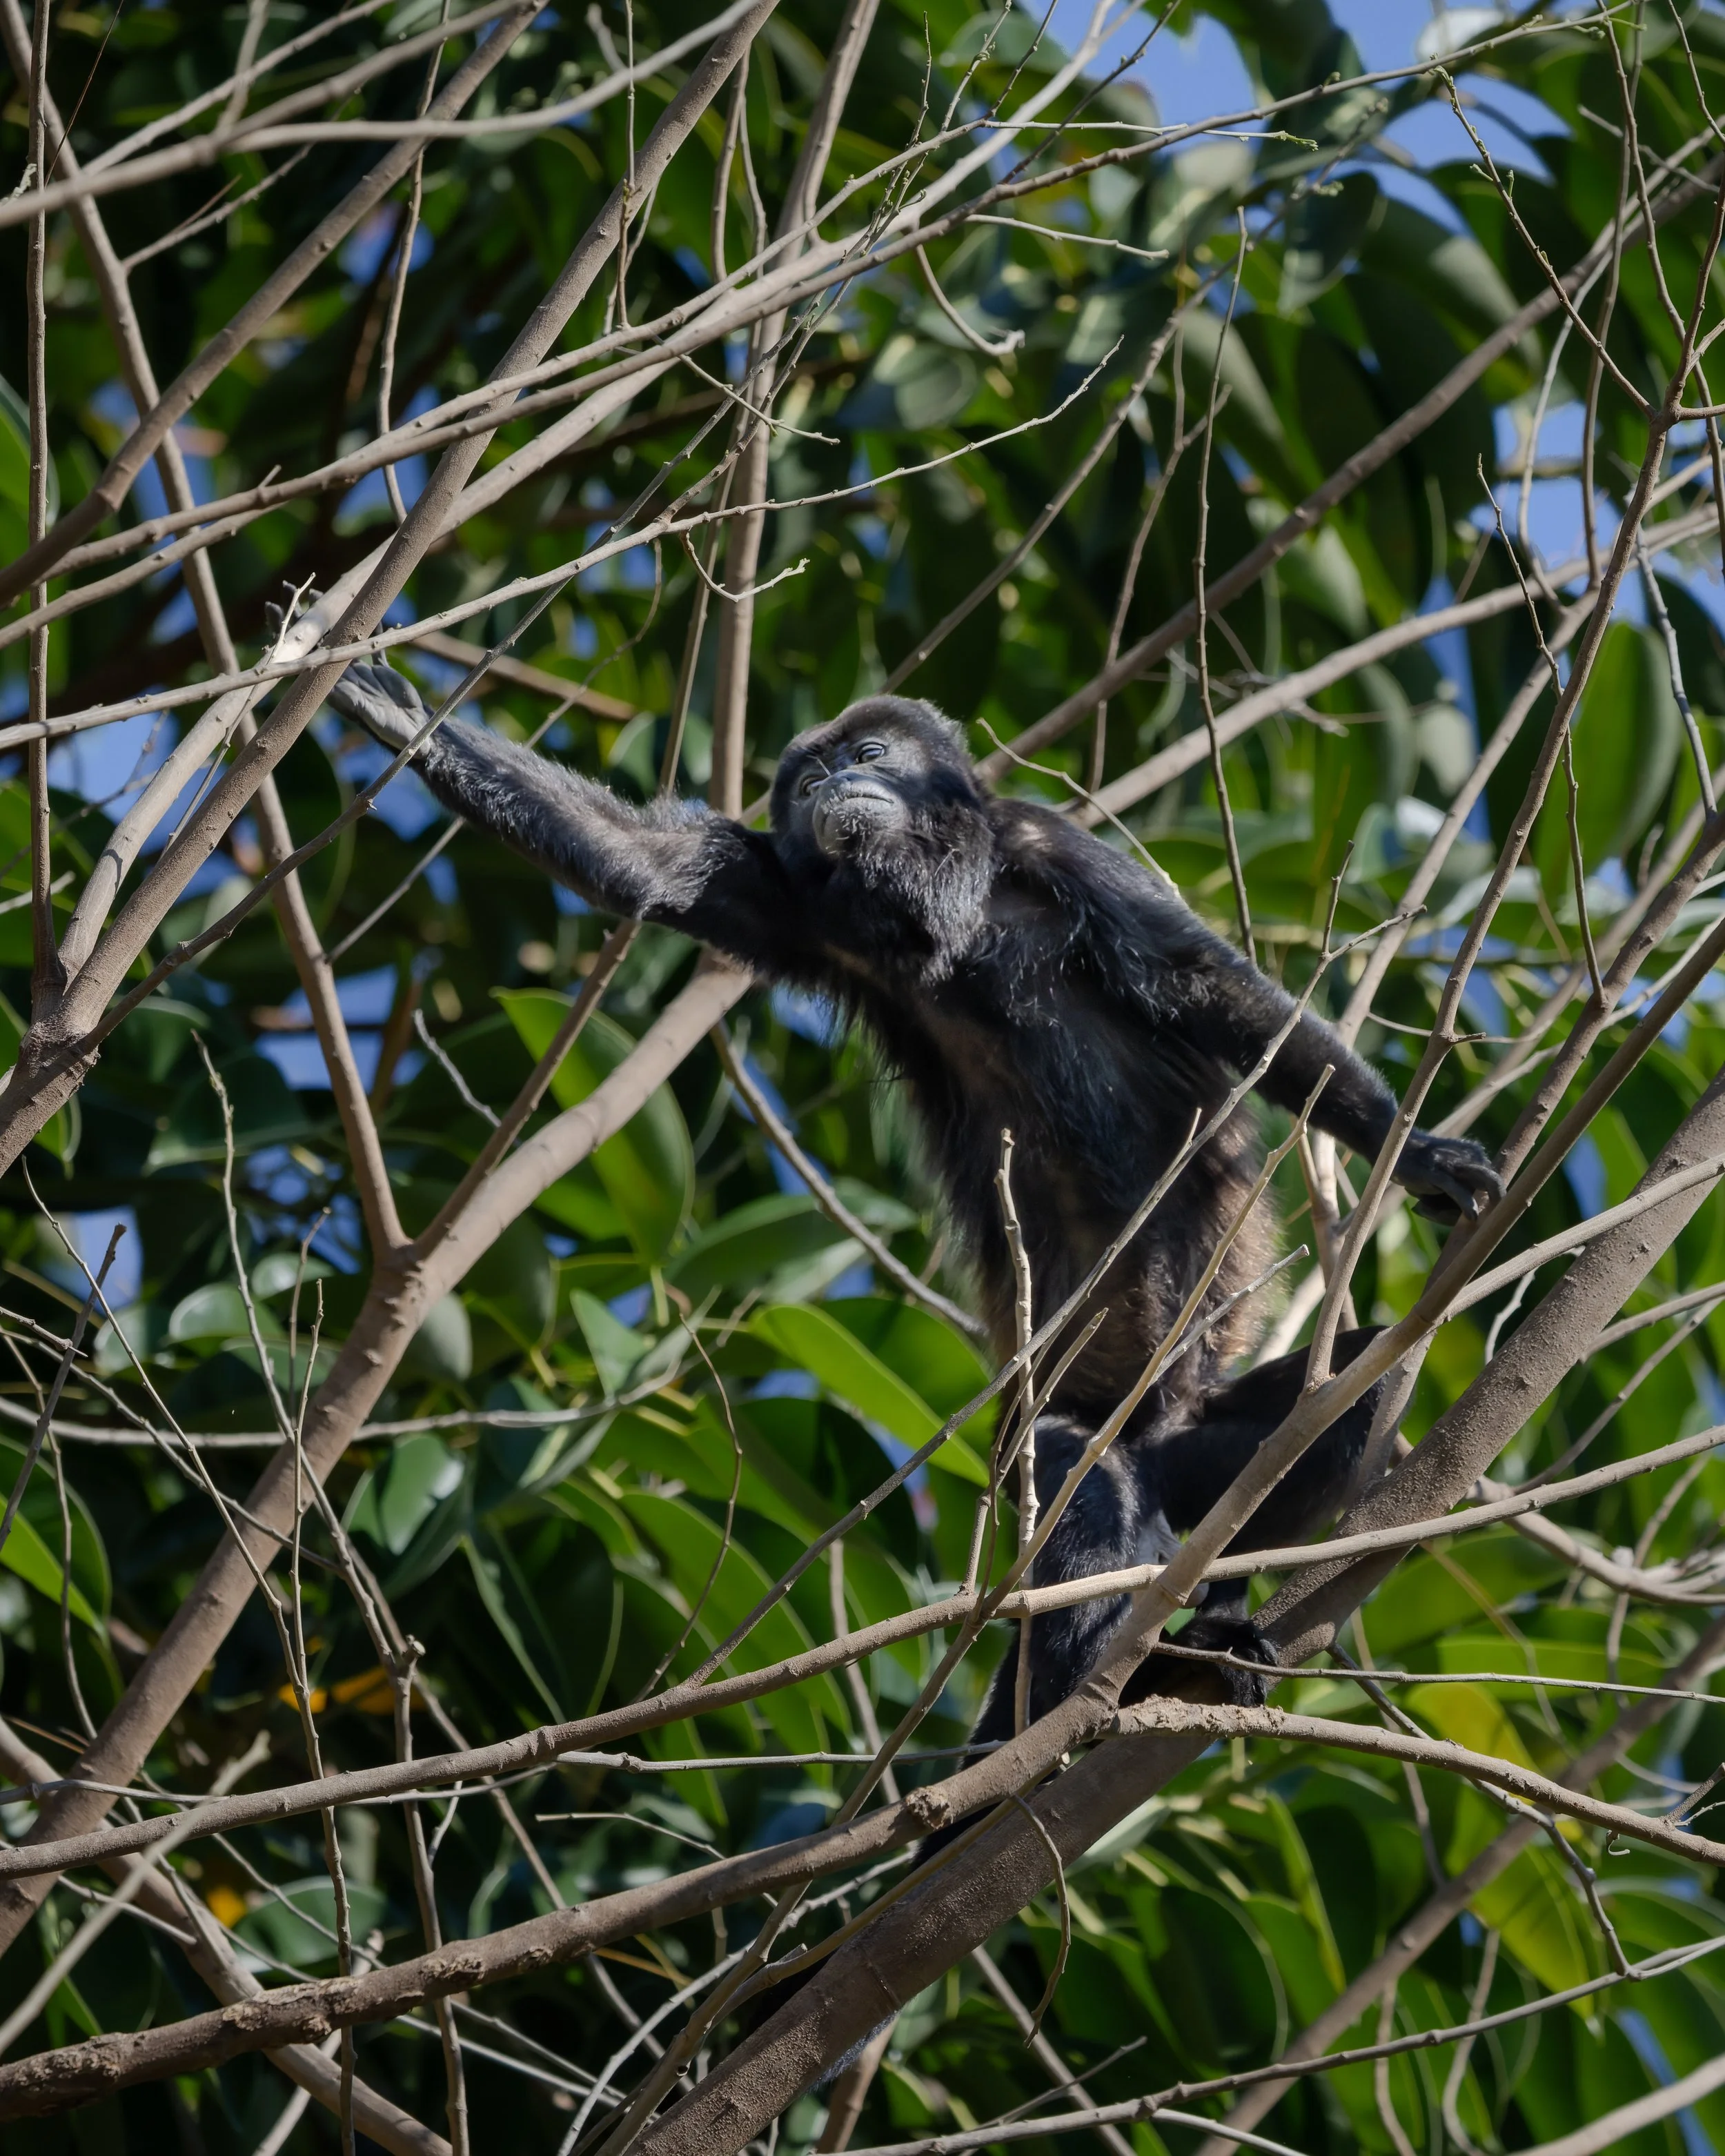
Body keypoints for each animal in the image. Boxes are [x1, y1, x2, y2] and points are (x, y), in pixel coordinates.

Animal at [327, 660, 1500, 1718]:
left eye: (870, 752)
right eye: (807, 778)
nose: (832, 781)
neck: (952, 904)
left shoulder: (1054, 846)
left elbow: (1213, 992)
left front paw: (1425, 1155)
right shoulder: (799, 901)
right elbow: (645, 860)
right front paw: (403, 714)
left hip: (1197, 1443)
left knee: (1356, 1402)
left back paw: (1201, 1626)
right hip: (1058, 1432)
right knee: (1079, 1475)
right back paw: (1091, 1671)